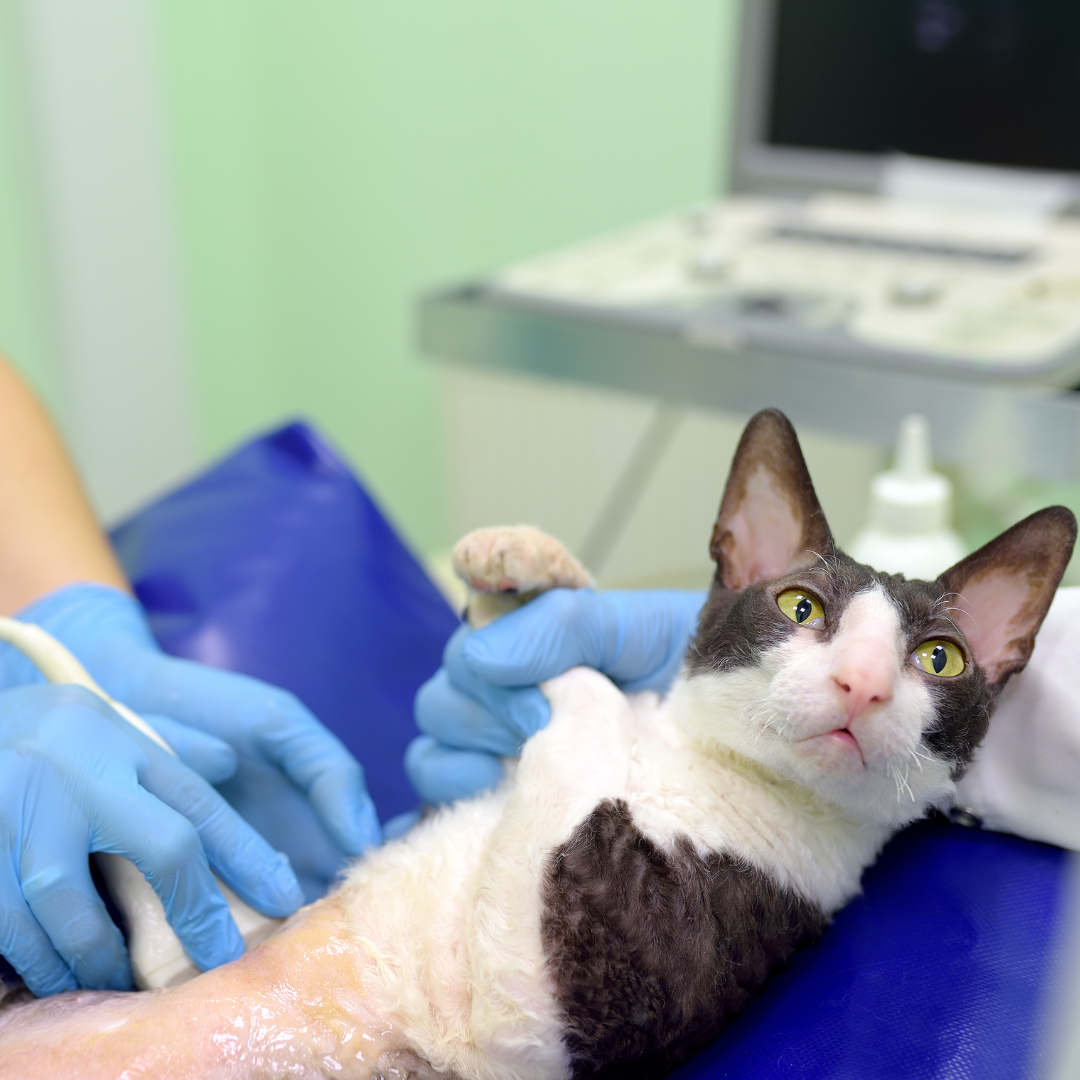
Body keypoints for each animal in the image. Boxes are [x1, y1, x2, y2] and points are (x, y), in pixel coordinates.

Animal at [0, 406, 1071, 1080]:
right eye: (801, 606)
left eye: (938, 659)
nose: (865, 681)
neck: (692, 770)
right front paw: (526, 572)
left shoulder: (536, 1017)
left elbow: (585, 713)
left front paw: (570, 661)